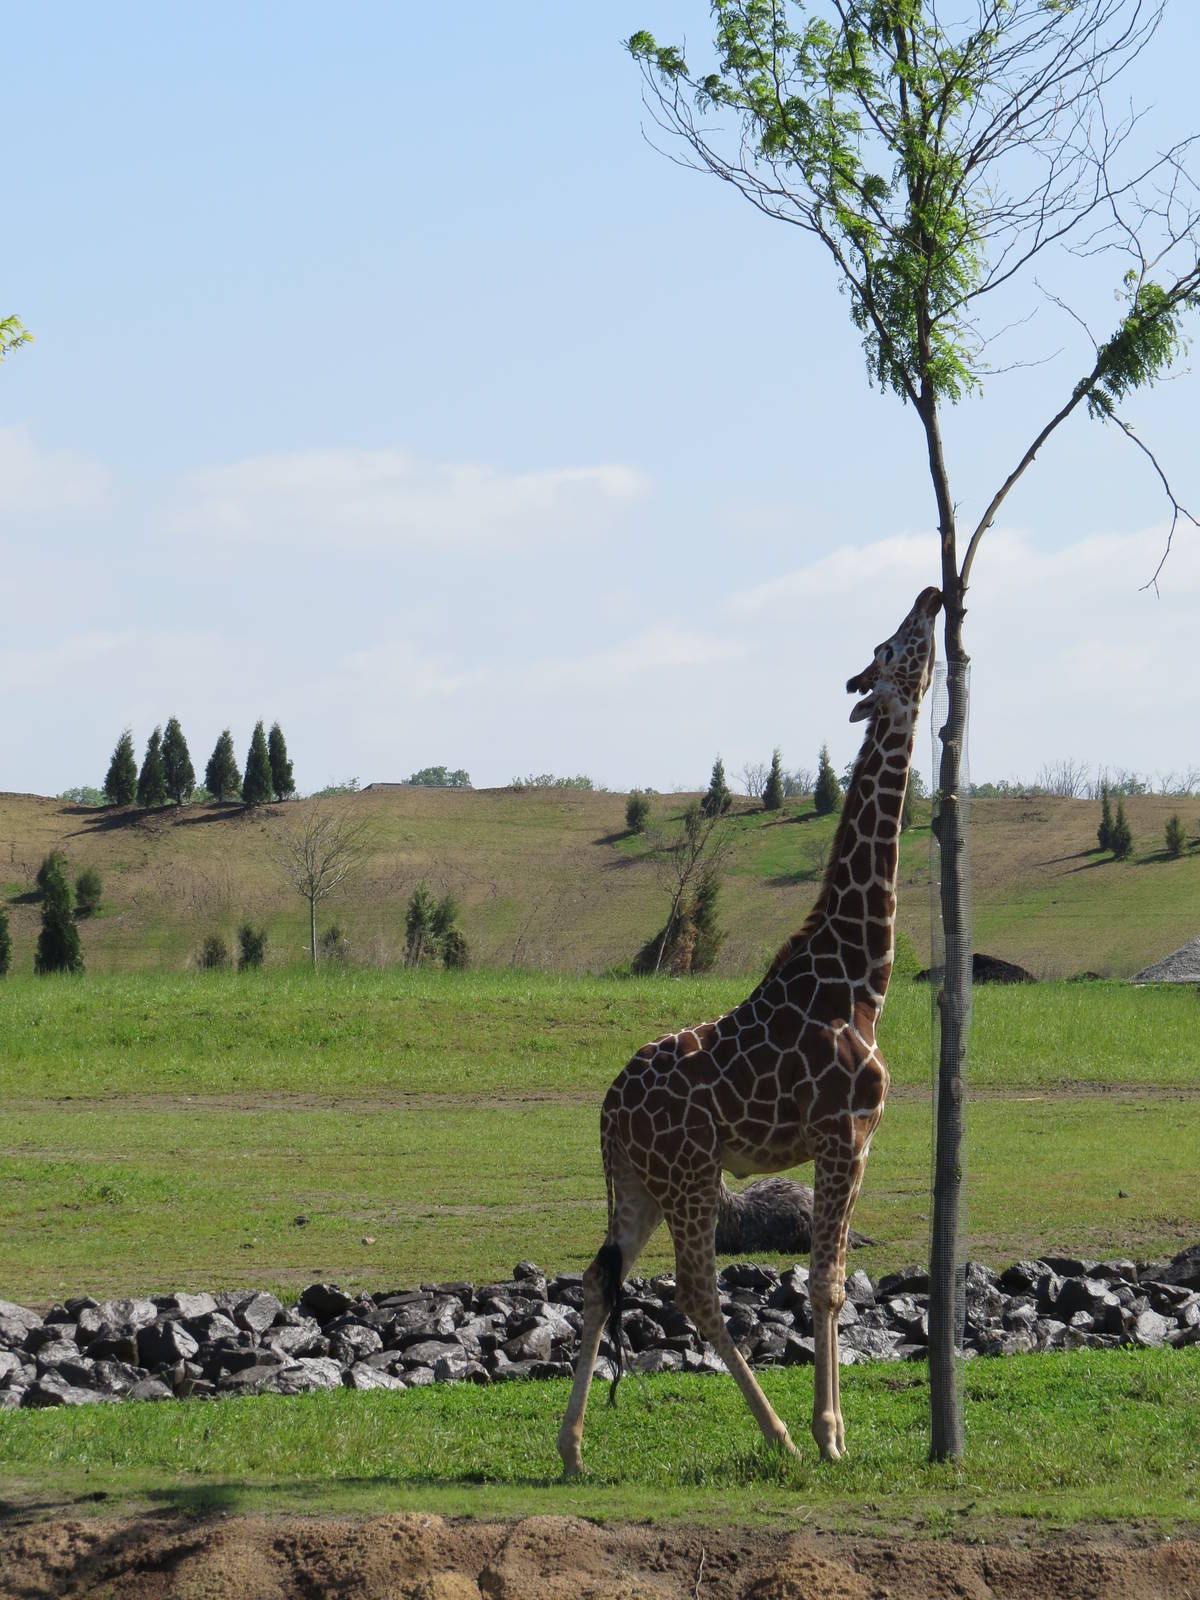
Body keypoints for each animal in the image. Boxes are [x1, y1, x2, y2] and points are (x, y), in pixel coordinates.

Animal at [558, 586, 941, 1473]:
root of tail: (607, 1110)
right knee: (695, 1292)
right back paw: (777, 1436)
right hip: (692, 1175)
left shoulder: (852, 1141)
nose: (935, 593)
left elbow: (829, 1277)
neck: (860, 978)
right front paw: (830, 1433)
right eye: (891, 643)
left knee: (598, 1279)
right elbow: (826, 1281)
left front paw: (835, 1428)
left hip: (638, 1181)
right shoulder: (847, 1134)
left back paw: (572, 1448)